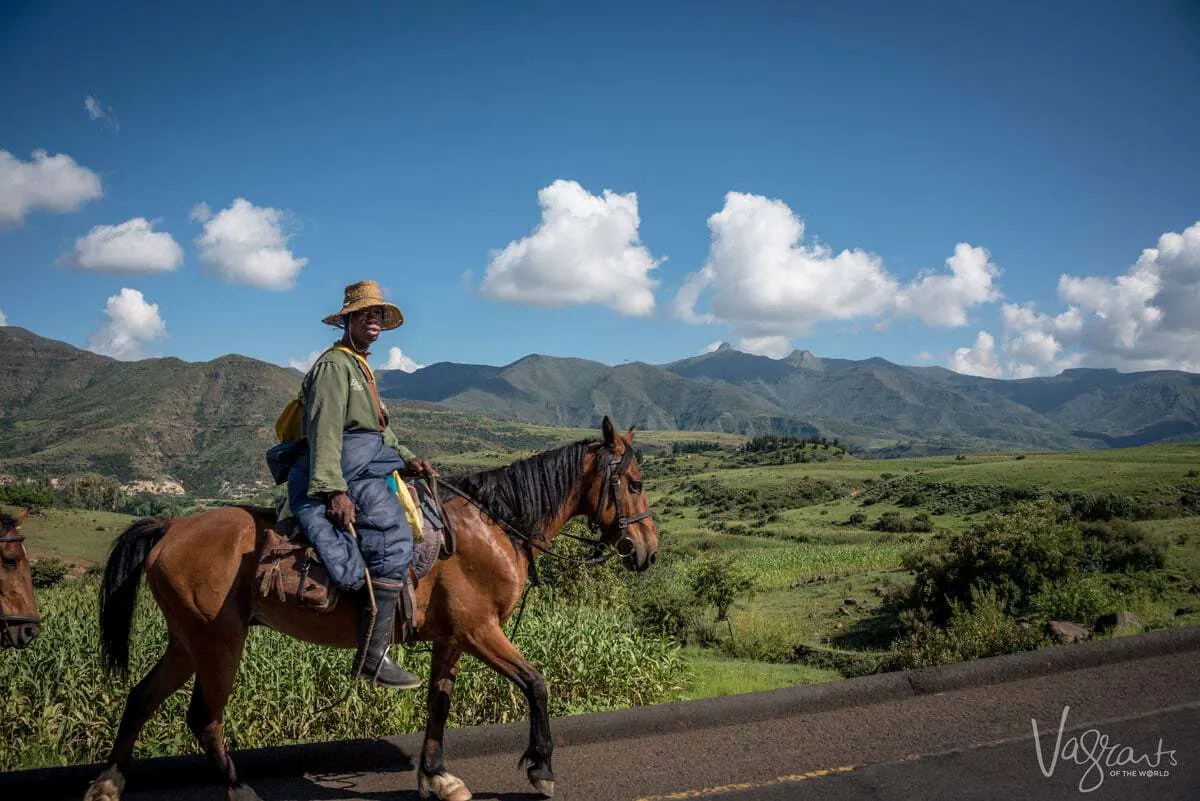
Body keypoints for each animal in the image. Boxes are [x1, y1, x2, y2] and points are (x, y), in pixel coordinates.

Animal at [87, 417, 657, 801]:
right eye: (633, 483)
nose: (648, 551)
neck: (493, 525)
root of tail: (170, 527)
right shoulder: (480, 630)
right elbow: (536, 683)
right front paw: (541, 768)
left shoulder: (452, 638)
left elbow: (438, 704)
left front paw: (437, 776)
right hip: (217, 644)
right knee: (203, 718)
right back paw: (237, 789)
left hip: (186, 641)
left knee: (141, 698)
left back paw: (109, 782)